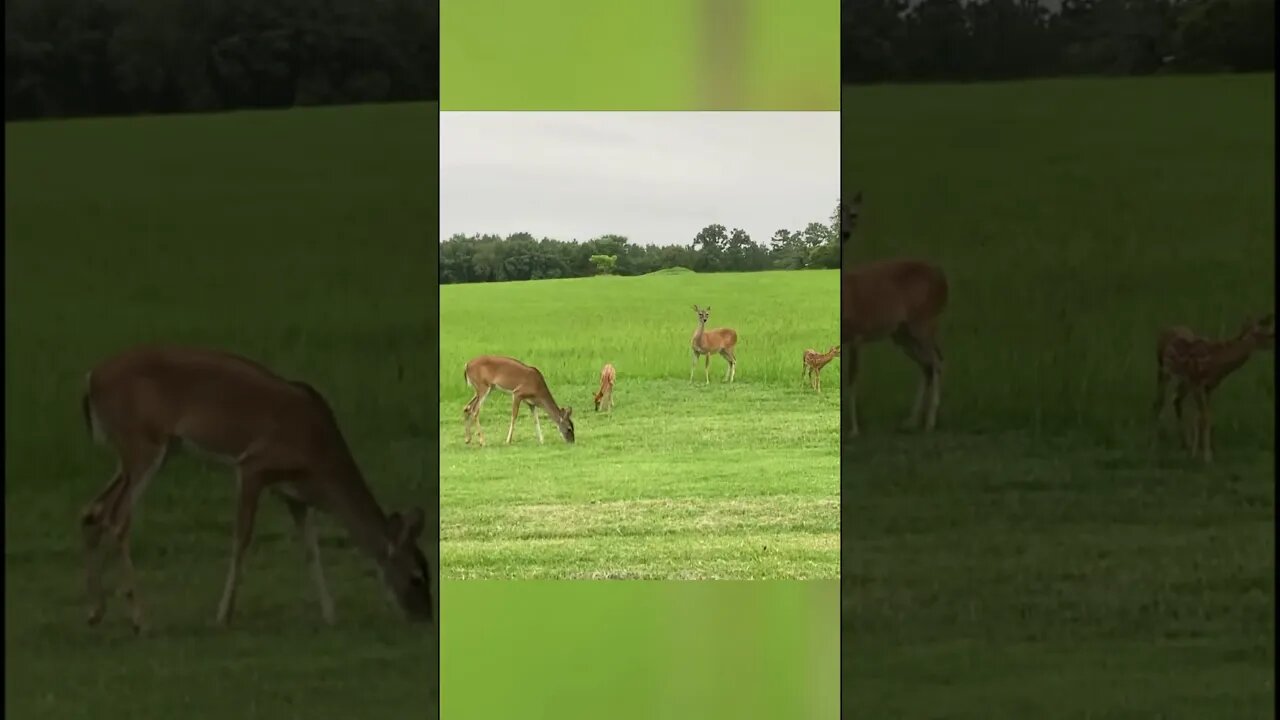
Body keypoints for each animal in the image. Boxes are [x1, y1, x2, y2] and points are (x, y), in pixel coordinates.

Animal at [77, 345, 432, 630]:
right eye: (416, 576)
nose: (426, 617)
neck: (318, 455)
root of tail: (91, 379)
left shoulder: (294, 494)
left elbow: (310, 548)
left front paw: (330, 615)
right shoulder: (252, 466)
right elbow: (242, 538)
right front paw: (223, 616)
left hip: (149, 452)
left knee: (93, 510)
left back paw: (96, 611)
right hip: (142, 443)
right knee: (117, 517)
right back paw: (140, 619)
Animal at [839, 190, 952, 435]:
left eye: (854, 215)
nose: (845, 234)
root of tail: (943, 279)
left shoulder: (856, 334)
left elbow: (851, 381)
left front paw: (854, 430)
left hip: (924, 321)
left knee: (937, 361)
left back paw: (929, 422)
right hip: (902, 333)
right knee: (927, 365)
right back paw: (910, 421)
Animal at [1157, 312, 1274, 458]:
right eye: (1266, 333)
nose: (1273, 341)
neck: (1216, 363)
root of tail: (1165, 330)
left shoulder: (1208, 387)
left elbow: (1203, 416)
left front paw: (1202, 451)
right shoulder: (1197, 383)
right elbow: (1204, 417)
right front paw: (1206, 456)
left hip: (1183, 382)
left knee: (1176, 400)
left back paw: (1185, 444)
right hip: (1163, 371)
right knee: (1160, 401)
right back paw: (1158, 437)